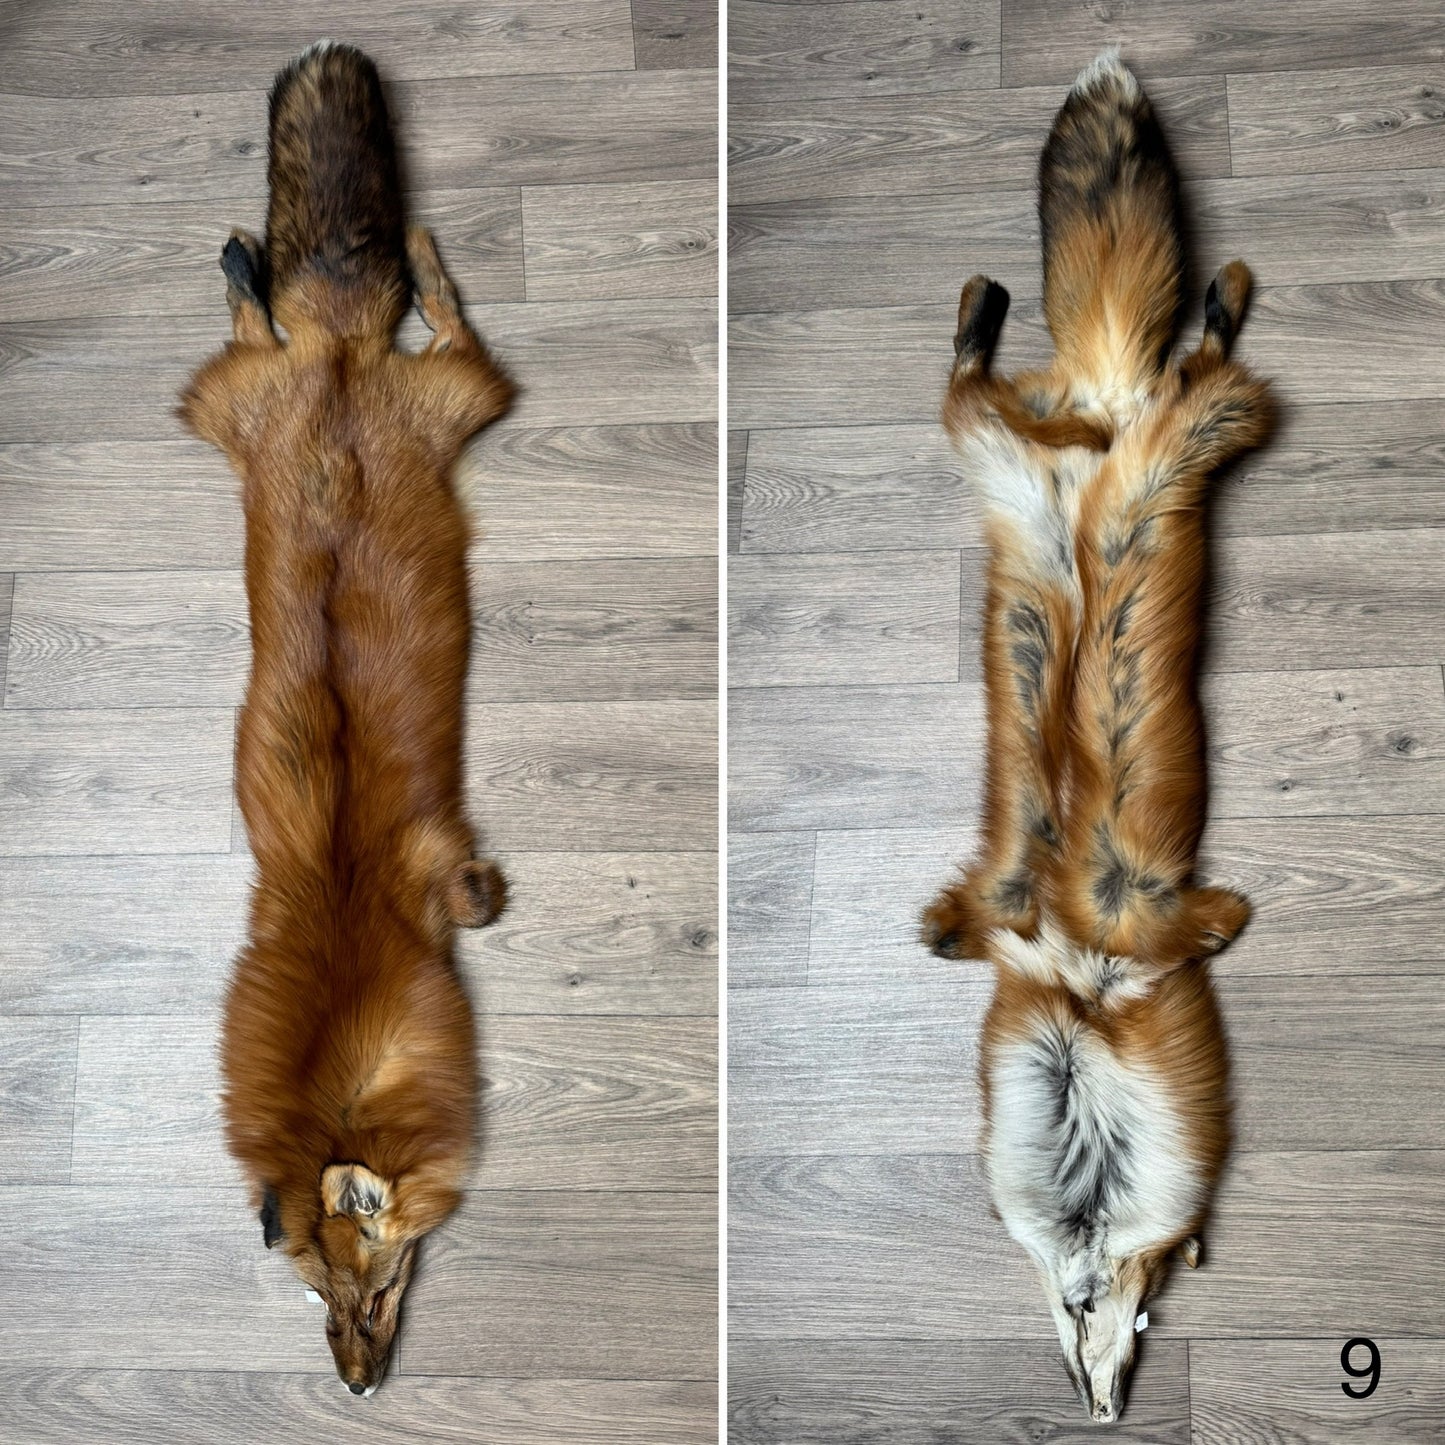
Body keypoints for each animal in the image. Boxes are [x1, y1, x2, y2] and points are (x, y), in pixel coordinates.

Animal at [920, 50, 1273, 1423]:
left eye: (1132, 1318)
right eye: (1092, 1330)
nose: (1100, 1408)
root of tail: (1099, 411)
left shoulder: (1123, 923)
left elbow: (1194, 919)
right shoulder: (1050, 921)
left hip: (1112, 468)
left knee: (1161, 372)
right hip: (1056, 482)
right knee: (1024, 376)